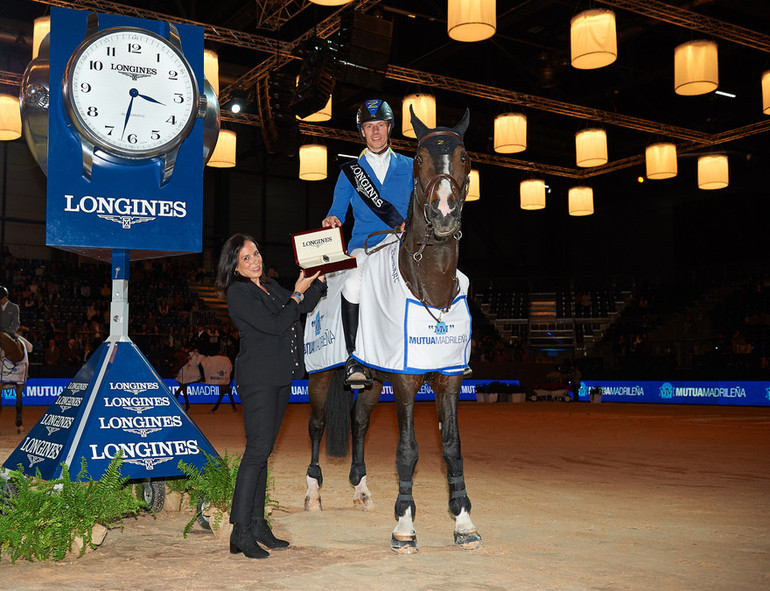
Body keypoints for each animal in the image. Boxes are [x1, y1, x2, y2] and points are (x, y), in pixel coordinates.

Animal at [304, 107, 480, 556]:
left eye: (464, 156)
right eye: (418, 158)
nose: (444, 213)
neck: (430, 285)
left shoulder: (448, 380)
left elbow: (452, 448)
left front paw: (463, 521)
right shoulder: (403, 380)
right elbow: (408, 450)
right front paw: (404, 525)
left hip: (371, 379)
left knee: (359, 422)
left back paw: (362, 489)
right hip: (320, 375)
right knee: (316, 425)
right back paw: (313, 492)